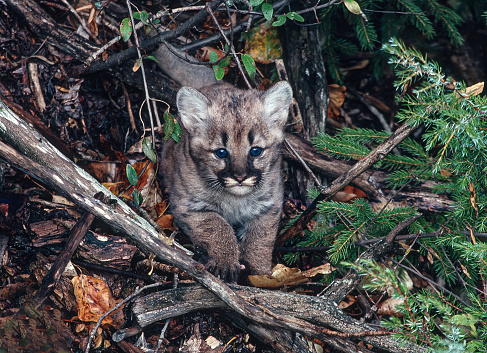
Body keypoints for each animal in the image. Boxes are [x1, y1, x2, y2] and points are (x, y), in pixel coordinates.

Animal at [163, 80, 294, 280]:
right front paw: (225, 263)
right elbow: (218, 226)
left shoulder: (269, 205)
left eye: (256, 151)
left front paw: (259, 272)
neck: (236, 199)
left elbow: (261, 236)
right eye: (221, 153)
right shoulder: (188, 205)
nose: (240, 177)